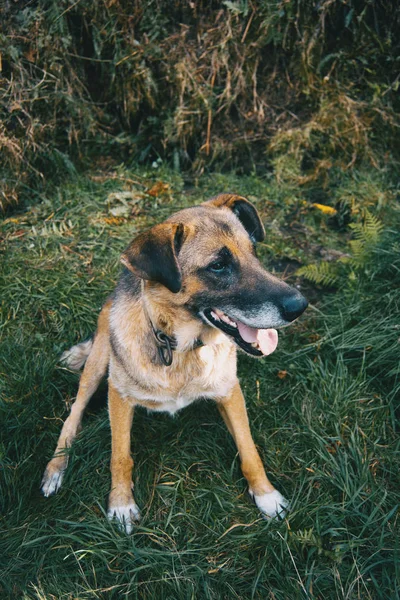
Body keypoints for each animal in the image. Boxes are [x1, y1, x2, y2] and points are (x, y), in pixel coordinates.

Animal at [40, 191, 308, 528]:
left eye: (254, 251)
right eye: (218, 265)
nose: (300, 306)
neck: (179, 346)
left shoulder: (230, 392)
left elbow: (248, 449)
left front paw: (266, 495)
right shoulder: (119, 396)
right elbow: (120, 455)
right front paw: (121, 502)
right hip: (98, 367)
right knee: (73, 414)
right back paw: (55, 468)